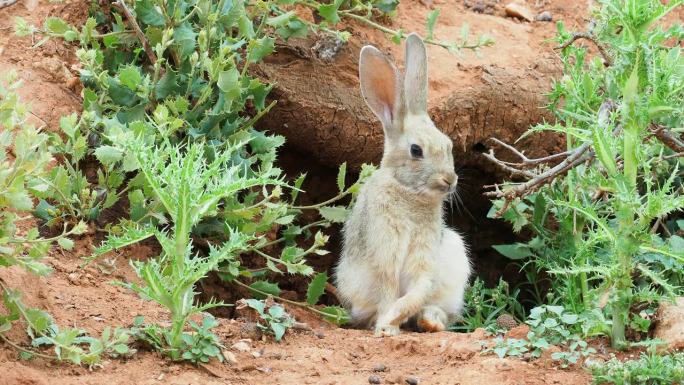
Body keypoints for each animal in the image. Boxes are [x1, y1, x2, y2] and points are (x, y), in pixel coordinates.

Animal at [336, 33, 470, 336]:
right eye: (416, 150)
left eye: (449, 145)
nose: (449, 180)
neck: (409, 192)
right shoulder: (385, 249)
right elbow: (387, 286)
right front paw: (386, 327)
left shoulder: (425, 257)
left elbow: (419, 289)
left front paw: (392, 320)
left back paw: (430, 322)